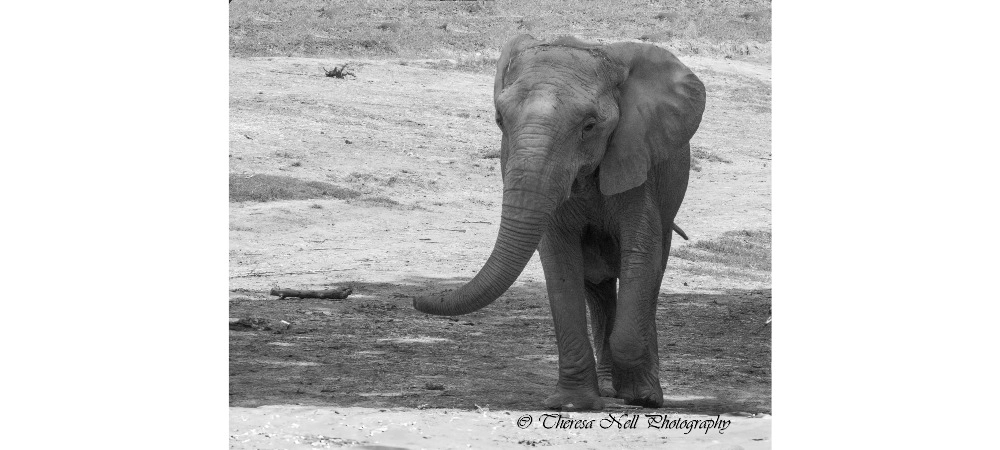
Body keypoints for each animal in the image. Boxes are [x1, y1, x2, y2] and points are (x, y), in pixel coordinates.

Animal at [413, 34, 706, 411]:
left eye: (590, 126)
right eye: (499, 120)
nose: (417, 296)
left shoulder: (637, 162)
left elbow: (641, 253)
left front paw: (642, 399)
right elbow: (560, 261)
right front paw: (571, 404)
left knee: (646, 276)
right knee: (597, 285)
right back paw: (608, 387)